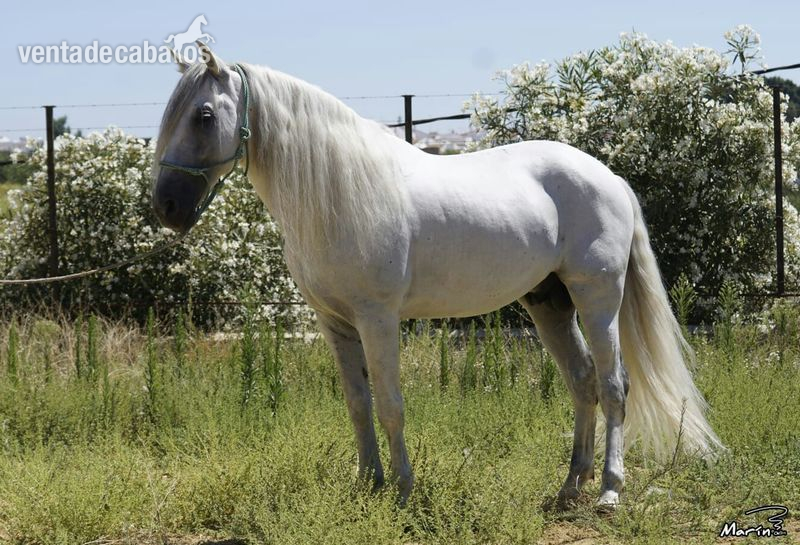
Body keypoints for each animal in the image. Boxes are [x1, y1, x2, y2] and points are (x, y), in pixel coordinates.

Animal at [152, 43, 723, 508]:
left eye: (204, 115)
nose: (166, 208)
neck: (340, 192)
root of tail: (609, 177)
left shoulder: (378, 319)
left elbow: (390, 406)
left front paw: (402, 490)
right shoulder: (335, 323)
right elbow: (358, 406)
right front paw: (368, 485)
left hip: (597, 298)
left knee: (613, 385)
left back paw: (608, 490)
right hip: (549, 304)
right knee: (582, 381)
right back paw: (569, 486)